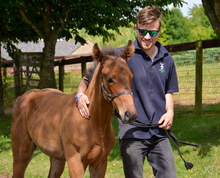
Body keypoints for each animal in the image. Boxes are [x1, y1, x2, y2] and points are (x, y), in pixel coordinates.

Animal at [11, 40, 138, 178]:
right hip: (21, 153)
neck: (93, 123)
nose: (130, 114)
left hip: (57, 158)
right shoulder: (75, 161)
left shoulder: (100, 163)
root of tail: (21, 97)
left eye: (131, 77)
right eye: (110, 79)